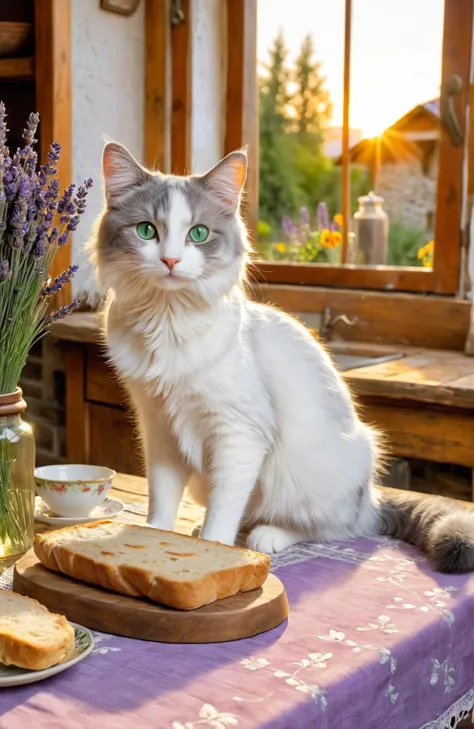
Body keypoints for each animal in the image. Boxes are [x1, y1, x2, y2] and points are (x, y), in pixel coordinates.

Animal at [90, 142, 474, 572]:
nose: (170, 261)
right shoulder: (159, 426)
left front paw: (213, 548)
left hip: (312, 476)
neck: (168, 324)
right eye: (146, 230)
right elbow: (161, 499)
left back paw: (268, 535)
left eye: (198, 234)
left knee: (329, 528)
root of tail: (370, 499)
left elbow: (224, 509)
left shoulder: (238, 435)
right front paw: (155, 536)